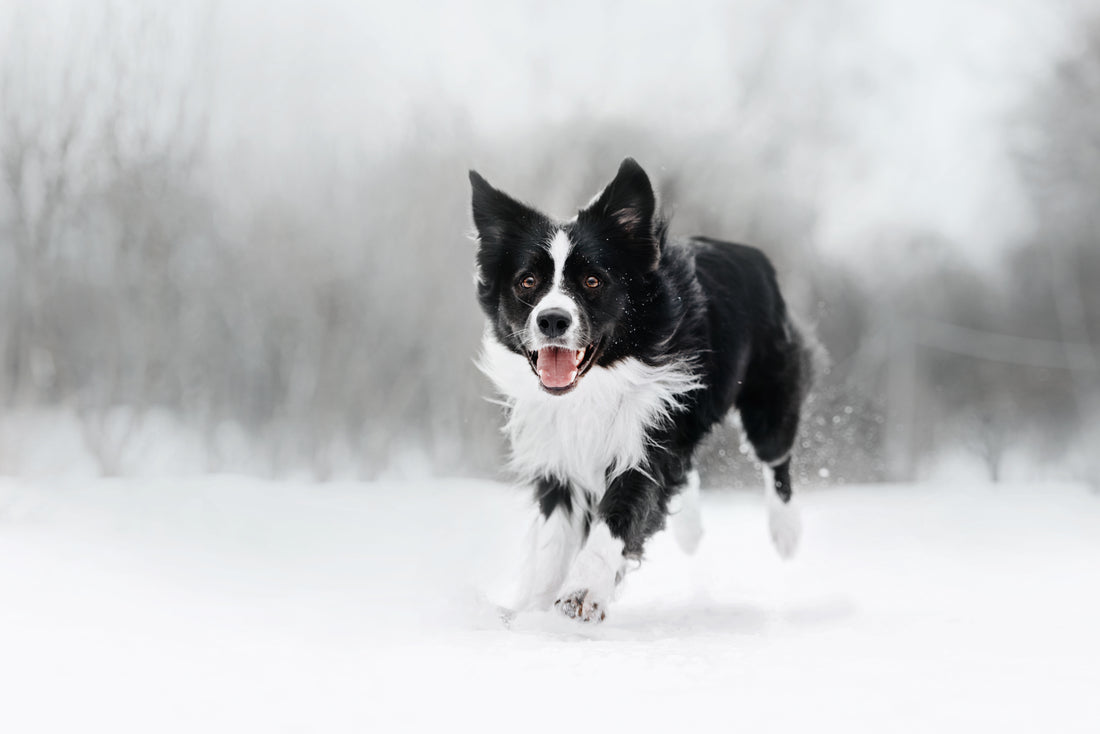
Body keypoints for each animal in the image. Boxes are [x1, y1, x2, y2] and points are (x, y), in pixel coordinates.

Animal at [468, 158, 814, 625]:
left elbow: (621, 511)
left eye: (592, 281)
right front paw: (533, 610)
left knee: (776, 457)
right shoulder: (559, 453)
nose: (552, 320)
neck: (594, 385)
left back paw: (786, 532)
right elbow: (553, 541)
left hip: (768, 394)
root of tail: (752, 253)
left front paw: (582, 592)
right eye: (527, 282)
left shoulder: (648, 438)